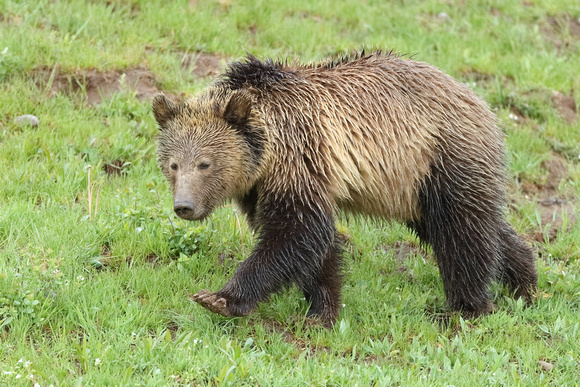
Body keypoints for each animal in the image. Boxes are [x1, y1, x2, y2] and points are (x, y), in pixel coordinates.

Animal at [152, 50, 536, 326]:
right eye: (173, 164)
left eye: (205, 164)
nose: (184, 205)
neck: (267, 150)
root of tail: (477, 98)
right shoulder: (260, 186)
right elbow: (311, 245)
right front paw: (322, 310)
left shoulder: (301, 158)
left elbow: (296, 232)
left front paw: (220, 298)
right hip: (414, 186)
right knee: (468, 223)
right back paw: (525, 281)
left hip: (439, 156)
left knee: (461, 230)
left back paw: (466, 306)